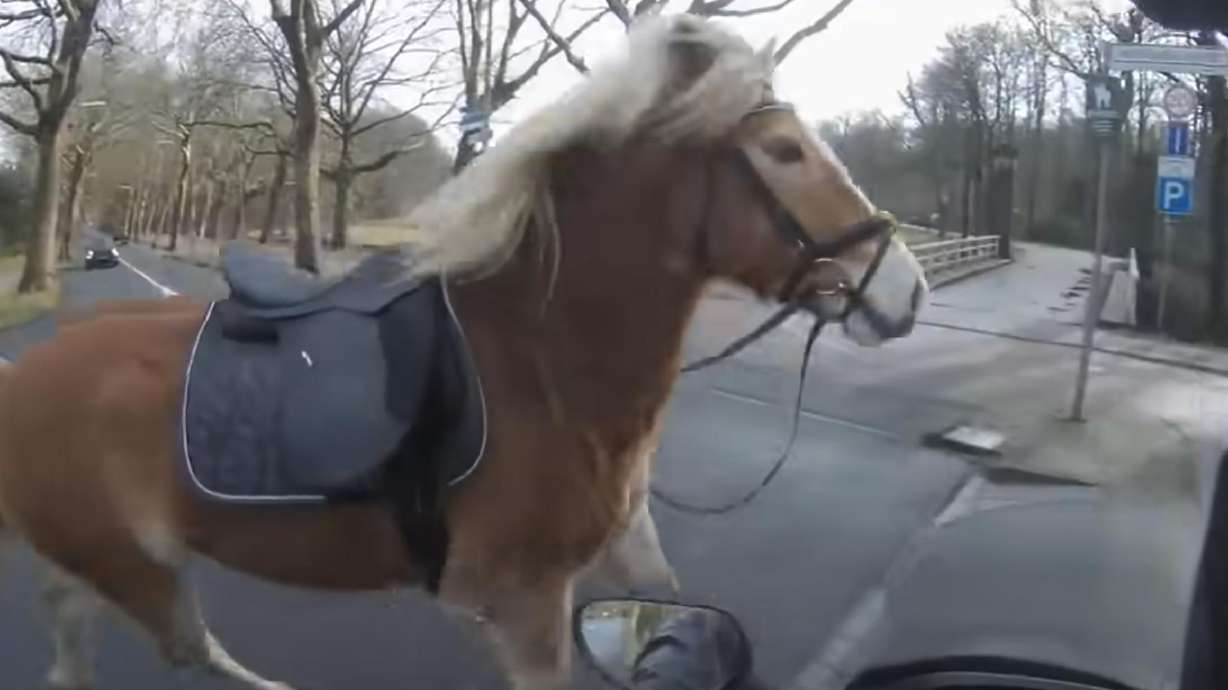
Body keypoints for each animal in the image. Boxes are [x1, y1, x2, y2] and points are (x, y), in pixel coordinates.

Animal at [0, 15, 927, 690]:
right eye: (784, 151)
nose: (906, 290)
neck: (543, 367)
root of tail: (25, 372)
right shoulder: (523, 605)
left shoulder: (628, 557)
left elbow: (672, 611)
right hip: (133, 566)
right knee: (187, 650)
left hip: (93, 565)